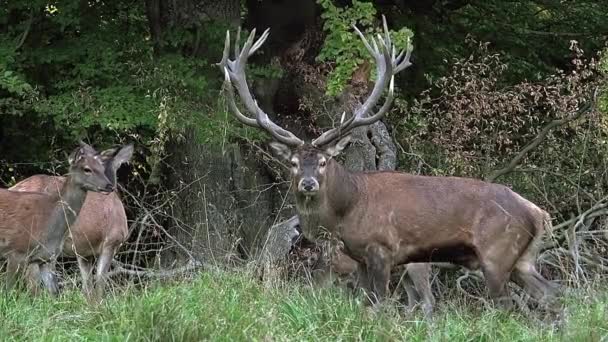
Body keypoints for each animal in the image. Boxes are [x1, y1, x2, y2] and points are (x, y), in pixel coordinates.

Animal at [9, 143, 134, 298]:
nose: (108, 186)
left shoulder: (83, 252)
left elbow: (87, 286)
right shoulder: (112, 241)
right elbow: (100, 282)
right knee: (32, 281)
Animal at [218, 17, 560, 312]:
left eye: (325, 162)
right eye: (292, 162)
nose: (308, 184)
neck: (348, 211)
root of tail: (538, 213)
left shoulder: (381, 249)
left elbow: (377, 305)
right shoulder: (358, 258)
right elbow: (362, 303)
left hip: (497, 253)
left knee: (507, 304)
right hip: (522, 261)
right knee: (555, 294)